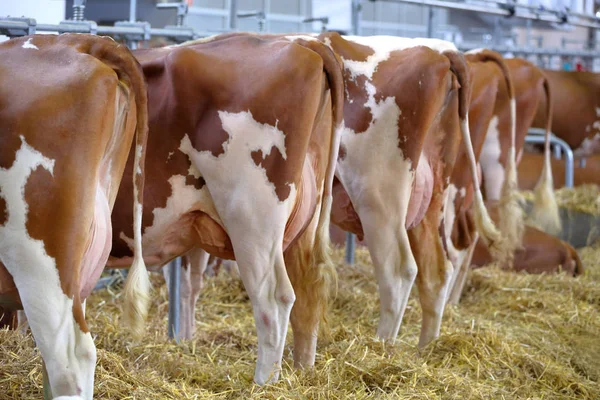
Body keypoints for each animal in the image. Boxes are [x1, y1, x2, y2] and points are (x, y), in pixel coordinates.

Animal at [105, 35, 344, 384]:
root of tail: (305, 44)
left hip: (252, 220)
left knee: (274, 300)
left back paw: (264, 383)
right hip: (303, 227)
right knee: (308, 294)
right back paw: (302, 373)